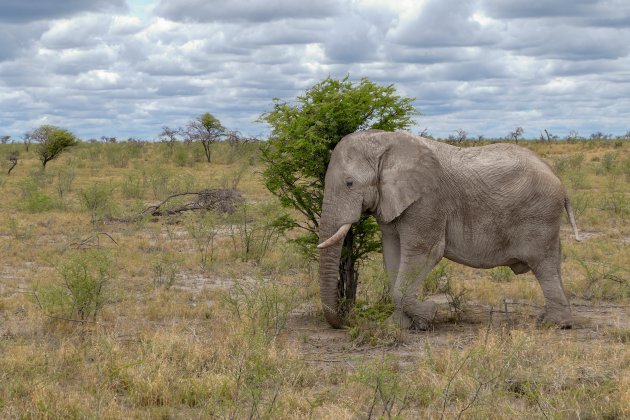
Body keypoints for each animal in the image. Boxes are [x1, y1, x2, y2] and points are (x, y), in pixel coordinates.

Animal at [318, 130, 580, 330]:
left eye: (350, 183)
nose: (345, 323)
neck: (385, 141)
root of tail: (557, 177)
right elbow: (392, 253)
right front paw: (397, 326)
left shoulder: (427, 201)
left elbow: (426, 252)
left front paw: (428, 315)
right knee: (553, 263)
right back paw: (552, 319)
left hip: (540, 216)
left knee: (543, 264)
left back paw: (554, 324)